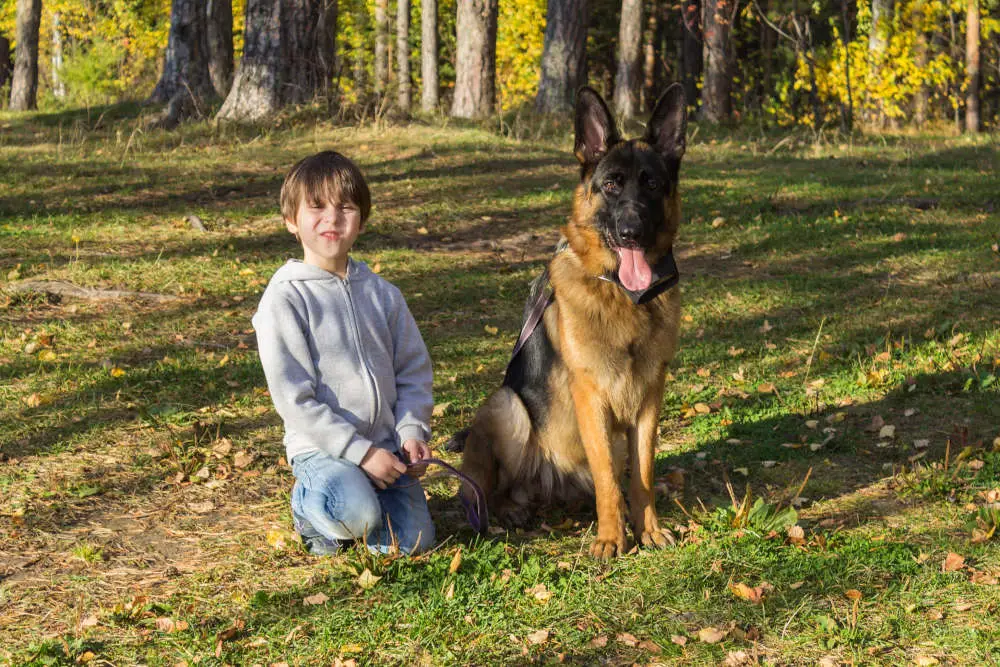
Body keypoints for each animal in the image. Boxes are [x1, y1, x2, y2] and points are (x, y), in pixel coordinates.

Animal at [458, 86, 688, 560]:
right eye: (611, 185)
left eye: (653, 185)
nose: (632, 231)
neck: (623, 295)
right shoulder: (591, 396)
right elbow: (606, 477)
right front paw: (611, 538)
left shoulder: (650, 397)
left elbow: (641, 474)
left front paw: (648, 530)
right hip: (508, 407)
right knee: (493, 490)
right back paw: (508, 510)